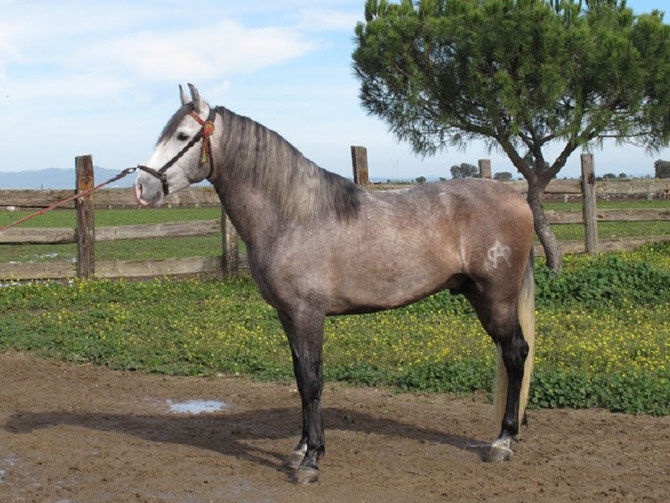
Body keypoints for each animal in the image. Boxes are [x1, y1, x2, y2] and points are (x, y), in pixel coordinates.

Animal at [135, 84, 536, 486]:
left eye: (182, 136)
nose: (142, 186)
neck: (294, 215)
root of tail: (516, 198)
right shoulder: (288, 316)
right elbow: (300, 379)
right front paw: (299, 449)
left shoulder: (307, 314)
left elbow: (313, 381)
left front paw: (312, 460)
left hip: (496, 298)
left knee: (516, 354)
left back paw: (503, 441)